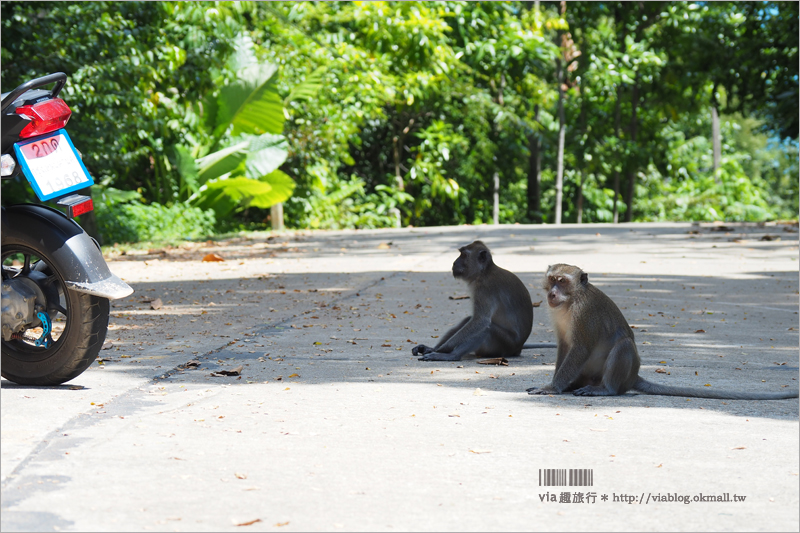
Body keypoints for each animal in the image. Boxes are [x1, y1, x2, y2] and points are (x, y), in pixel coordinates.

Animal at [412, 241, 556, 362]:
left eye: (464, 255)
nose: (454, 263)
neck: (484, 272)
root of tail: (518, 348)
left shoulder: (484, 289)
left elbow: (481, 321)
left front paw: (441, 349)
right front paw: (431, 348)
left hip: (503, 346)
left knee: (487, 329)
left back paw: (452, 356)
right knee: (471, 322)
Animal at [528, 264, 796, 396]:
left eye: (563, 281)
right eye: (552, 280)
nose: (552, 294)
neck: (571, 301)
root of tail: (632, 377)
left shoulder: (585, 315)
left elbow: (580, 348)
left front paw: (552, 387)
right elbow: (564, 347)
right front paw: (557, 384)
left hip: (618, 374)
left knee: (624, 346)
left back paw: (606, 390)